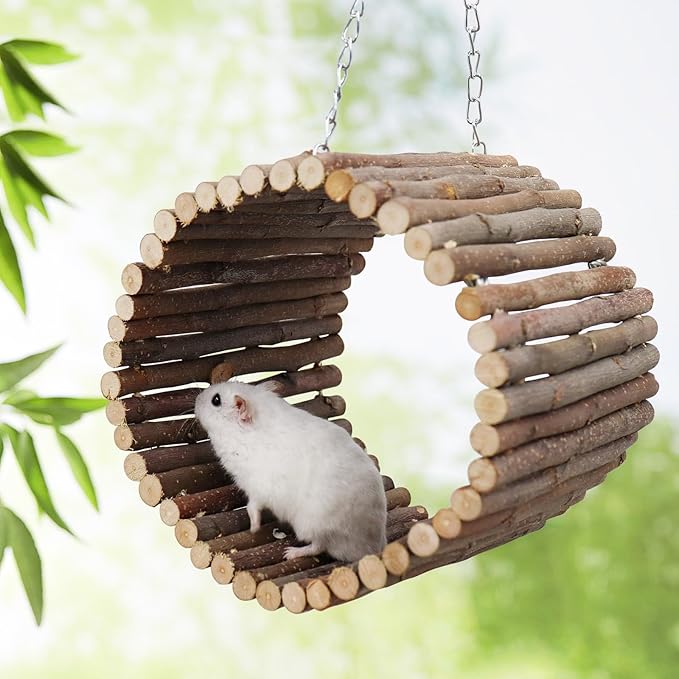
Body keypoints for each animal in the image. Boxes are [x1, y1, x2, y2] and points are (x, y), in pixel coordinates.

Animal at [194, 380, 387, 562]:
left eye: (216, 400)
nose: (196, 398)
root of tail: (371, 548)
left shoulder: (259, 488)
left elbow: (252, 507)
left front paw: (253, 529)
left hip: (312, 523)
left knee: (318, 546)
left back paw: (290, 553)